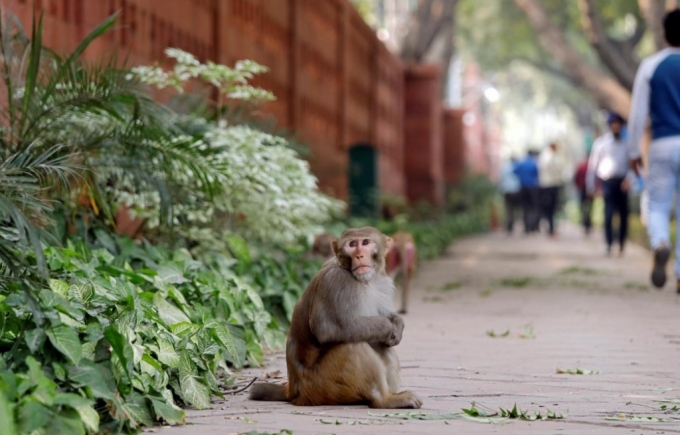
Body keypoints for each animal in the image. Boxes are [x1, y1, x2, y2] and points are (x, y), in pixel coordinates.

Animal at [250, 227, 420, 410]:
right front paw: (388, 326)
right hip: (322, 386)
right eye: (352, 244)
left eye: (366, 242)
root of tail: (293, 390)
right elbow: (329, 329)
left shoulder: (382, 282)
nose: (359, 255)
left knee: (380, 346)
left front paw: (397, 323)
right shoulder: (336, 281)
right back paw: (384, 400)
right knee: (353, 345)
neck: (363, 280)